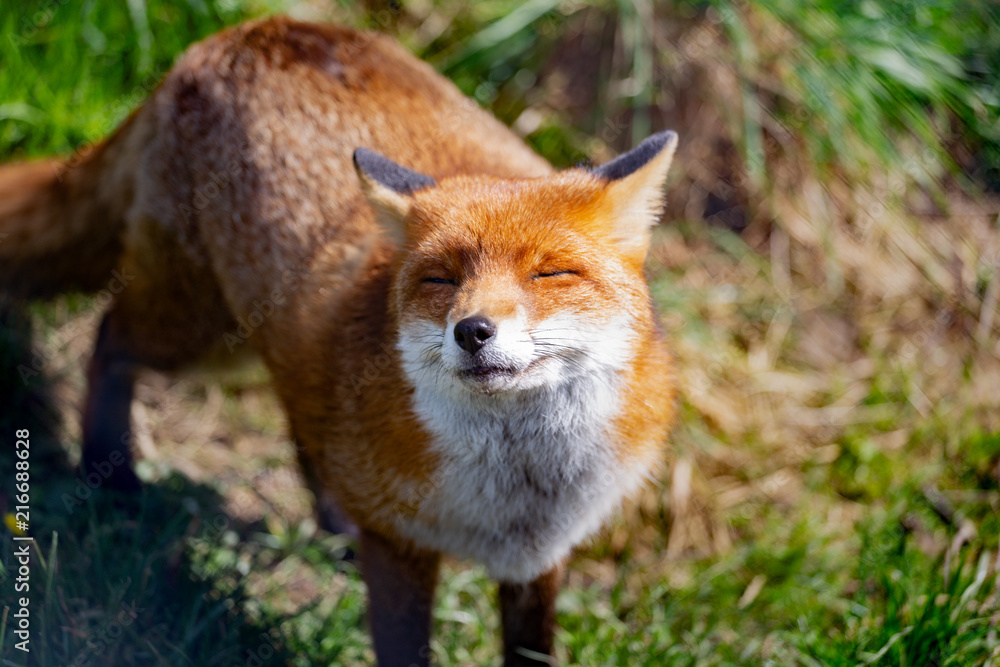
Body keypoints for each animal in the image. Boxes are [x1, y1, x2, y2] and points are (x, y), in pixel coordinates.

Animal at [0, 16, 678, 666]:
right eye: (440, 279)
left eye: (550, 274)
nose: (472, 331)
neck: (518, 489)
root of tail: (242, 33)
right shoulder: (400, 546)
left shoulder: (539, 557)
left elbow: (530, 648)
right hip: (198, 332)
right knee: (108, 339)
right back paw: (110, 478)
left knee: (299, 415)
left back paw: (331, 517)